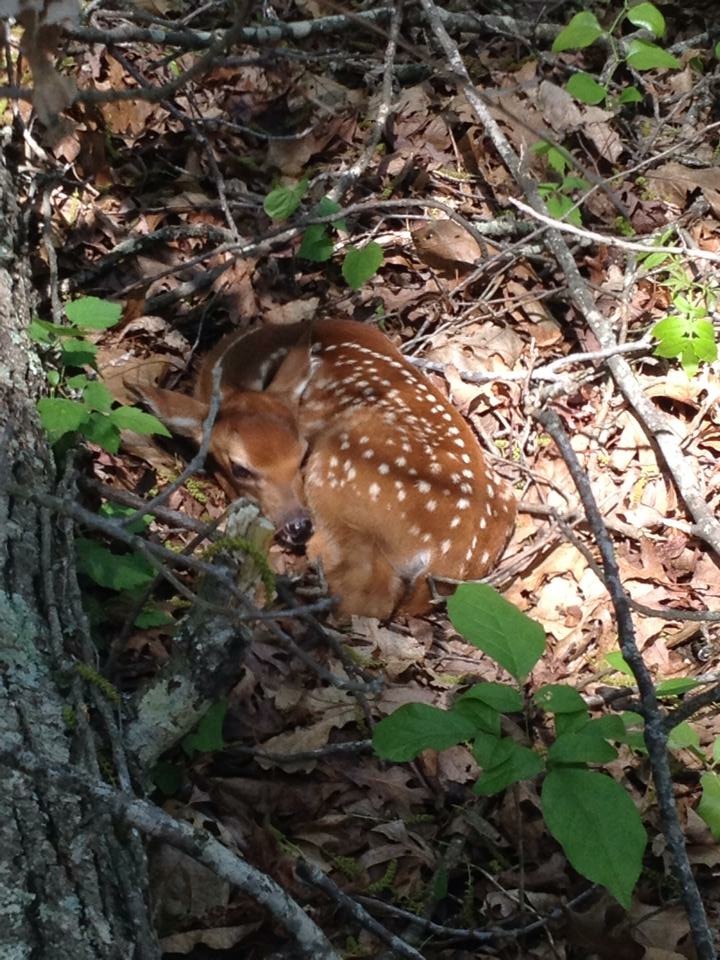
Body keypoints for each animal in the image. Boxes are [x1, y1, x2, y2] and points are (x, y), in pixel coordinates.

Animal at [134, 319, 516, 619]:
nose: (298, 524)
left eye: (302, 454)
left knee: (365, 595)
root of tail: (445, 556)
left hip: (342, 469)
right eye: (241, 469)